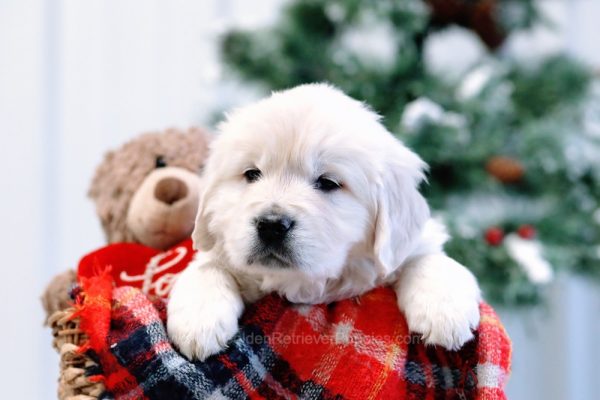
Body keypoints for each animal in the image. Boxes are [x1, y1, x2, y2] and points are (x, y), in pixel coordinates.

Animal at [166, 83, 480, 360]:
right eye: (252, 174)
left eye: (328, 183)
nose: (271, 225)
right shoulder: (222, 248)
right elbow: (207, 267)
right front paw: (199, 321)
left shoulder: (408, 244)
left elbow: (427, 259)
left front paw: (445, 311)